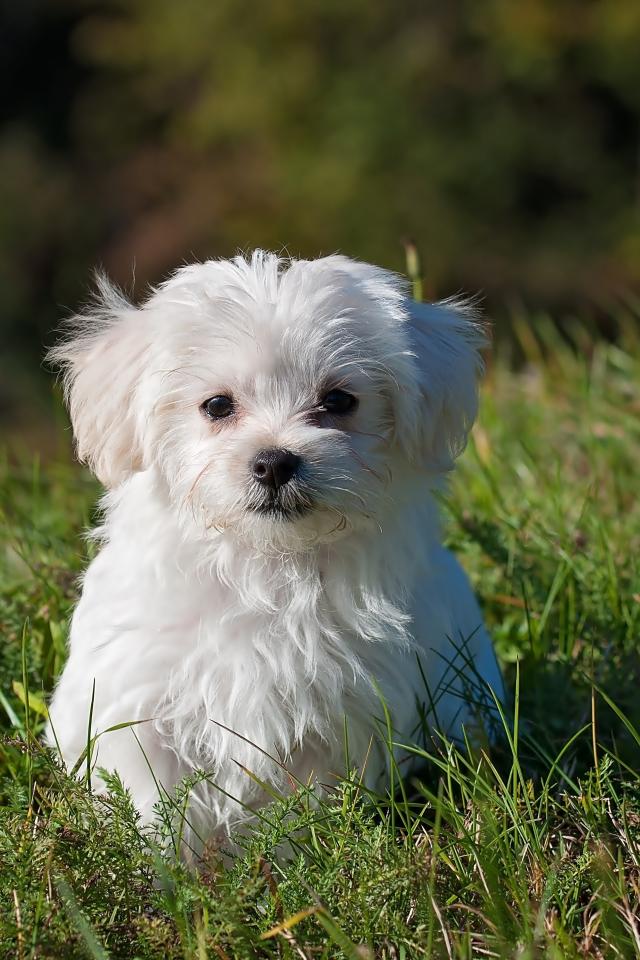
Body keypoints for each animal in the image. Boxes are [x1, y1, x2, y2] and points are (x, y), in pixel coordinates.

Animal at [46, 251, 502, 853]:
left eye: (339, 401)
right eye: (217, 405)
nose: (274, 461)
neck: (267, 564)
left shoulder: (339, 719)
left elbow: (299, 810)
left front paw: (290, 864)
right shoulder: (139, 704)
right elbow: (153, 804)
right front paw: (164, 870)